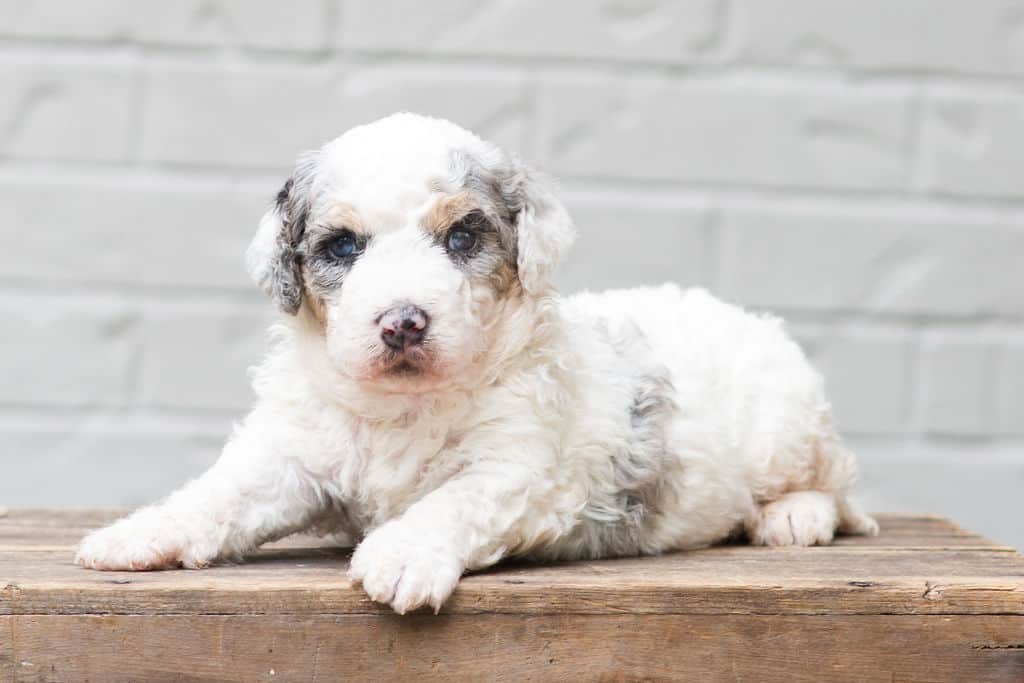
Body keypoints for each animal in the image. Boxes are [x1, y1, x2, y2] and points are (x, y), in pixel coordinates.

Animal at [77, 111, 880, 614]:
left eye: (462, 237)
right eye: (342, 246)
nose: (402, 321)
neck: (404, 407)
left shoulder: (521, 465)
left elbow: (454, 498)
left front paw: (402, 553)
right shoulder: (292, 453)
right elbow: (221, 493)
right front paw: (136, 533)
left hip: (790, 427)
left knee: (838, 487)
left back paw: (794, 517)